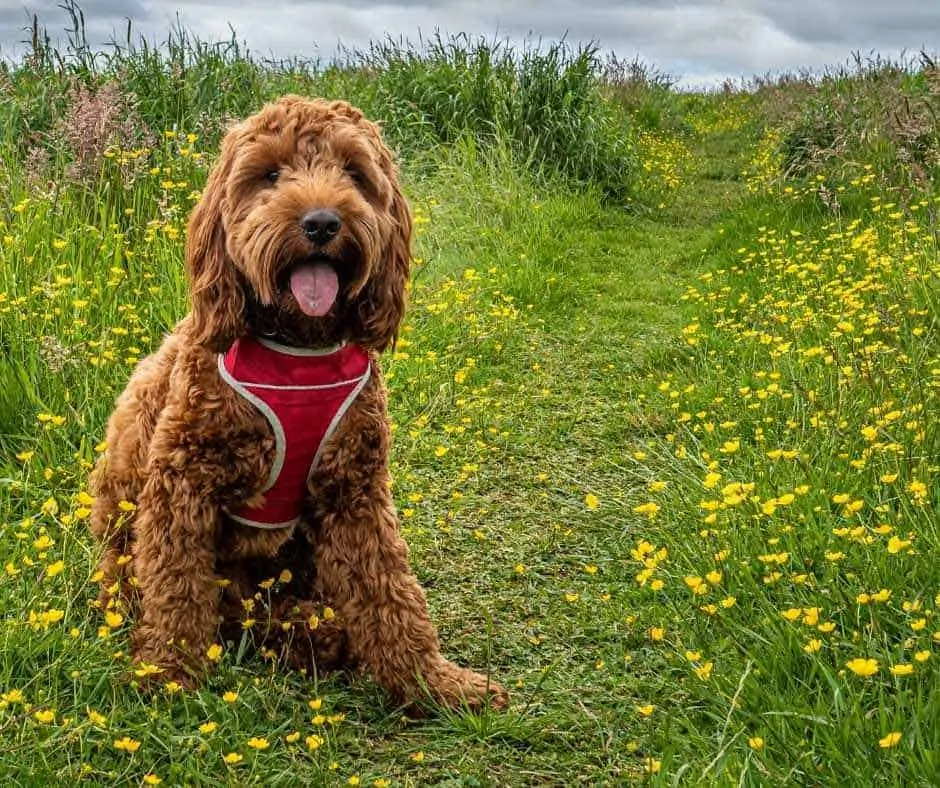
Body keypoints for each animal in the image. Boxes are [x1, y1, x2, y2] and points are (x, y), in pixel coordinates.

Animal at [90, 95, 506, 712]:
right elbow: (176, 590)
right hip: (126, 514)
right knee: (186, 600)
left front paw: (433, 682)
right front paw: (167, 674)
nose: (322, 223)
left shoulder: (355, 489)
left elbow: (391, 592)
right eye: (269, 175)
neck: (298, 347)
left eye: (354, 173)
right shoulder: (180, 483)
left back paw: (317, 632)